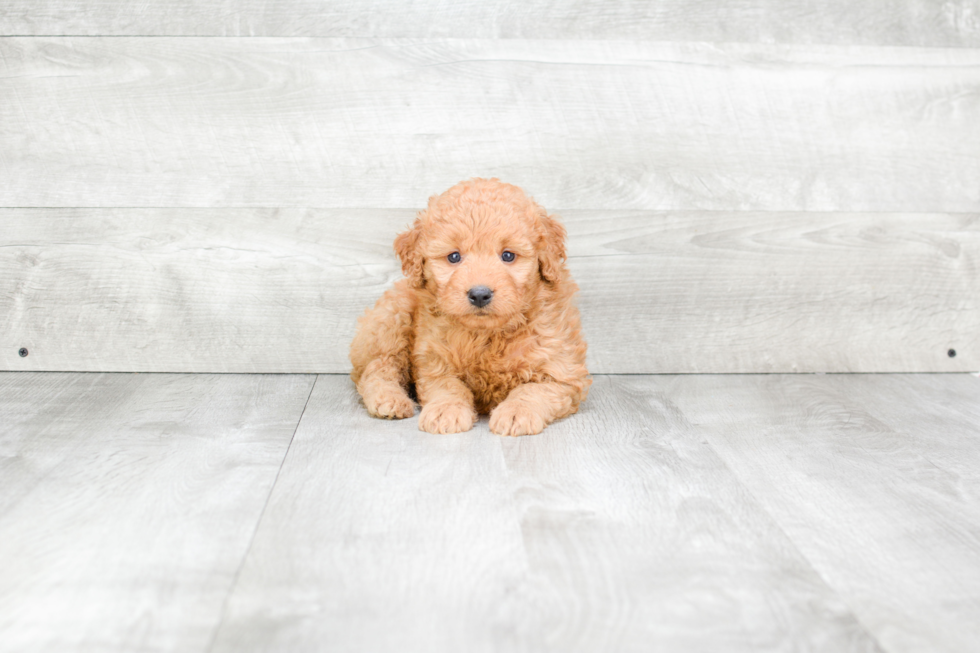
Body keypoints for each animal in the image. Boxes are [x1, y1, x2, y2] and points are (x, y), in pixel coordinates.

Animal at [350, 176, 588, 436]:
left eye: (508, 255)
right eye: (454, 257)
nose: (480, 294)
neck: (487, 336)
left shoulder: (561, 372)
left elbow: (532, 390)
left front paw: (516, 412)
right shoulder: (435, 362)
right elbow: (448, 387)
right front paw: (445, 410)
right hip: (392, 317)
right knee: (378, 368)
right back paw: (390, 400)